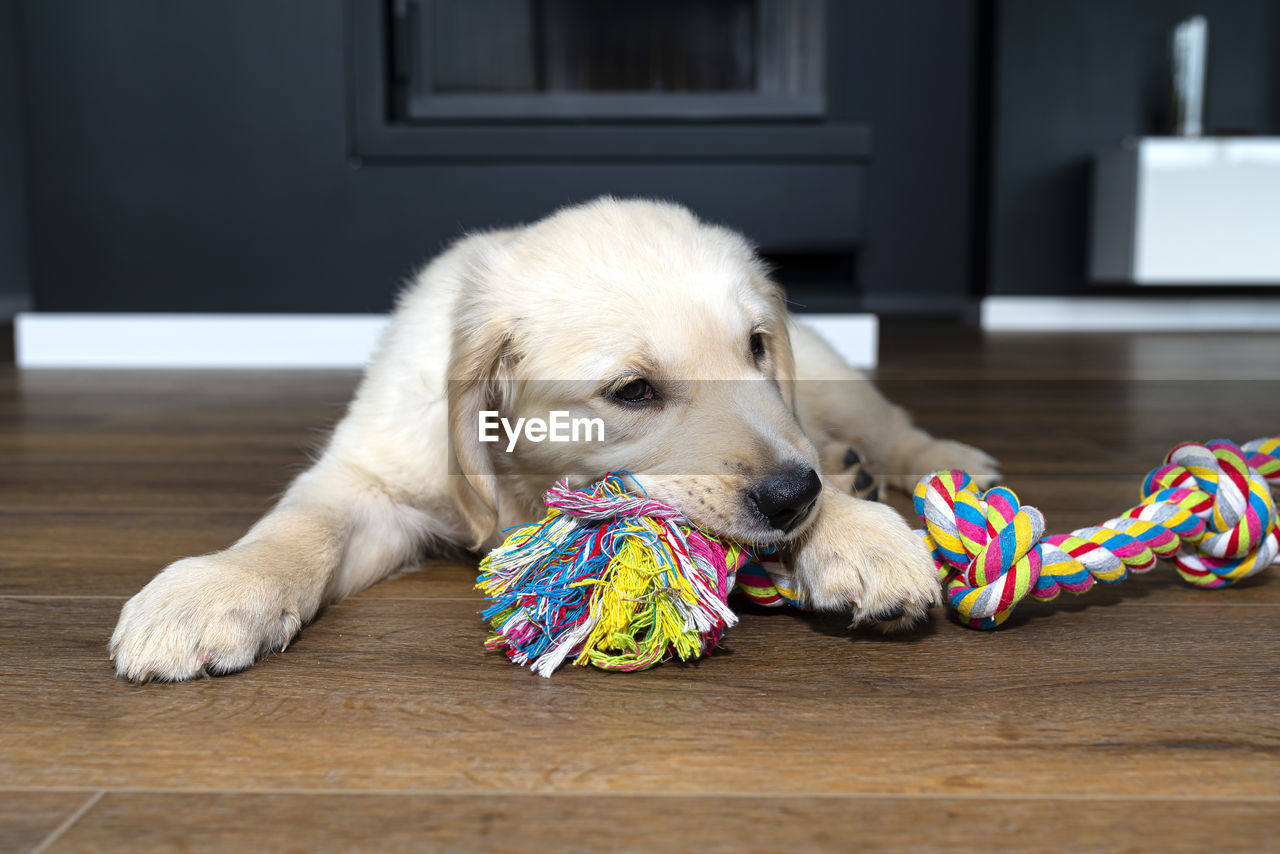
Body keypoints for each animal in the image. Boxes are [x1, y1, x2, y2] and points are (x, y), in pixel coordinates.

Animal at [107, 198, 998, 681]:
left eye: (752, 348)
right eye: (633, 392)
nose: (792, 496)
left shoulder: (784, 415)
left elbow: (796, 450)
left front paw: (853, 532)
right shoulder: (374, 479)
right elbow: (299, 528)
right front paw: (216, 588)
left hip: (824, 369)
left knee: (880, 426)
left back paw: (925, 465)